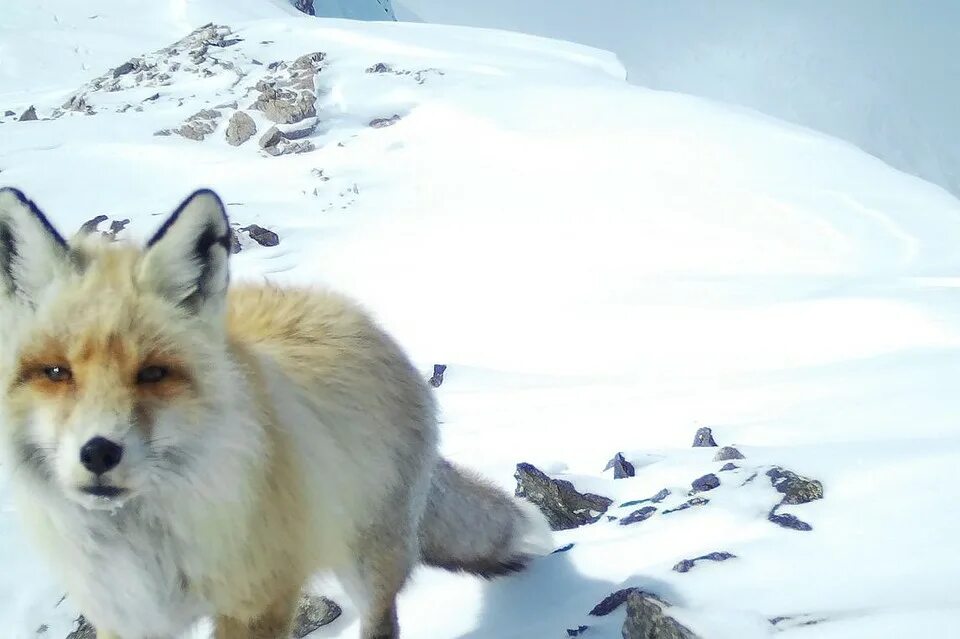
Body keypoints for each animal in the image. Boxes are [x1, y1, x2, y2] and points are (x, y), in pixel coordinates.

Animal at [0, 189, 552, 639]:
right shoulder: (126, 615)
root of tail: (348, 308)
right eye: (55, 371)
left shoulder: (258, 600)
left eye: (154, 373)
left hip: (365, 561)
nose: (98, 453)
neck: (147, 546)